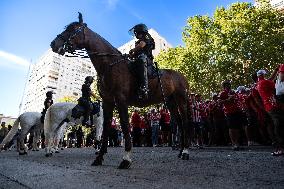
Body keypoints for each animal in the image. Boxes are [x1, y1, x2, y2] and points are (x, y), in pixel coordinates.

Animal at [50, 13, 191, 169]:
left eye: (72, 29)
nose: (53, 44)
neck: (109, 65)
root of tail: (181, 76)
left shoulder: (121, 100)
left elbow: (124, 125)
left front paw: (126, 158)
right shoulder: (108, 102)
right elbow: (106, 129)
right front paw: (99, 157)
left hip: (181, 100)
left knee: (185, 122)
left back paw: (186, 151)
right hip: (171, 102)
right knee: (179, 122)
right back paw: (181, 151)